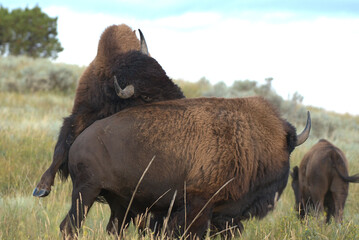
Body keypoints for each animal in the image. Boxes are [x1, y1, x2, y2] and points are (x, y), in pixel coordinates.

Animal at [33, 23, 186, 198]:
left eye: (167, 77)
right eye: (146, 96)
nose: (181, 101)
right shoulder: (80, 113)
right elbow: (61, 148)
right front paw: (41, 189)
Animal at [59, 96, 312, 238]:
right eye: (287, 151)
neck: (249, 139)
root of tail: (79, 140)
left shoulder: (224, 216)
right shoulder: (198, 205)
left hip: (119, 204)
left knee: (112, 229)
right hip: (86, 192)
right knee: (69, 226)